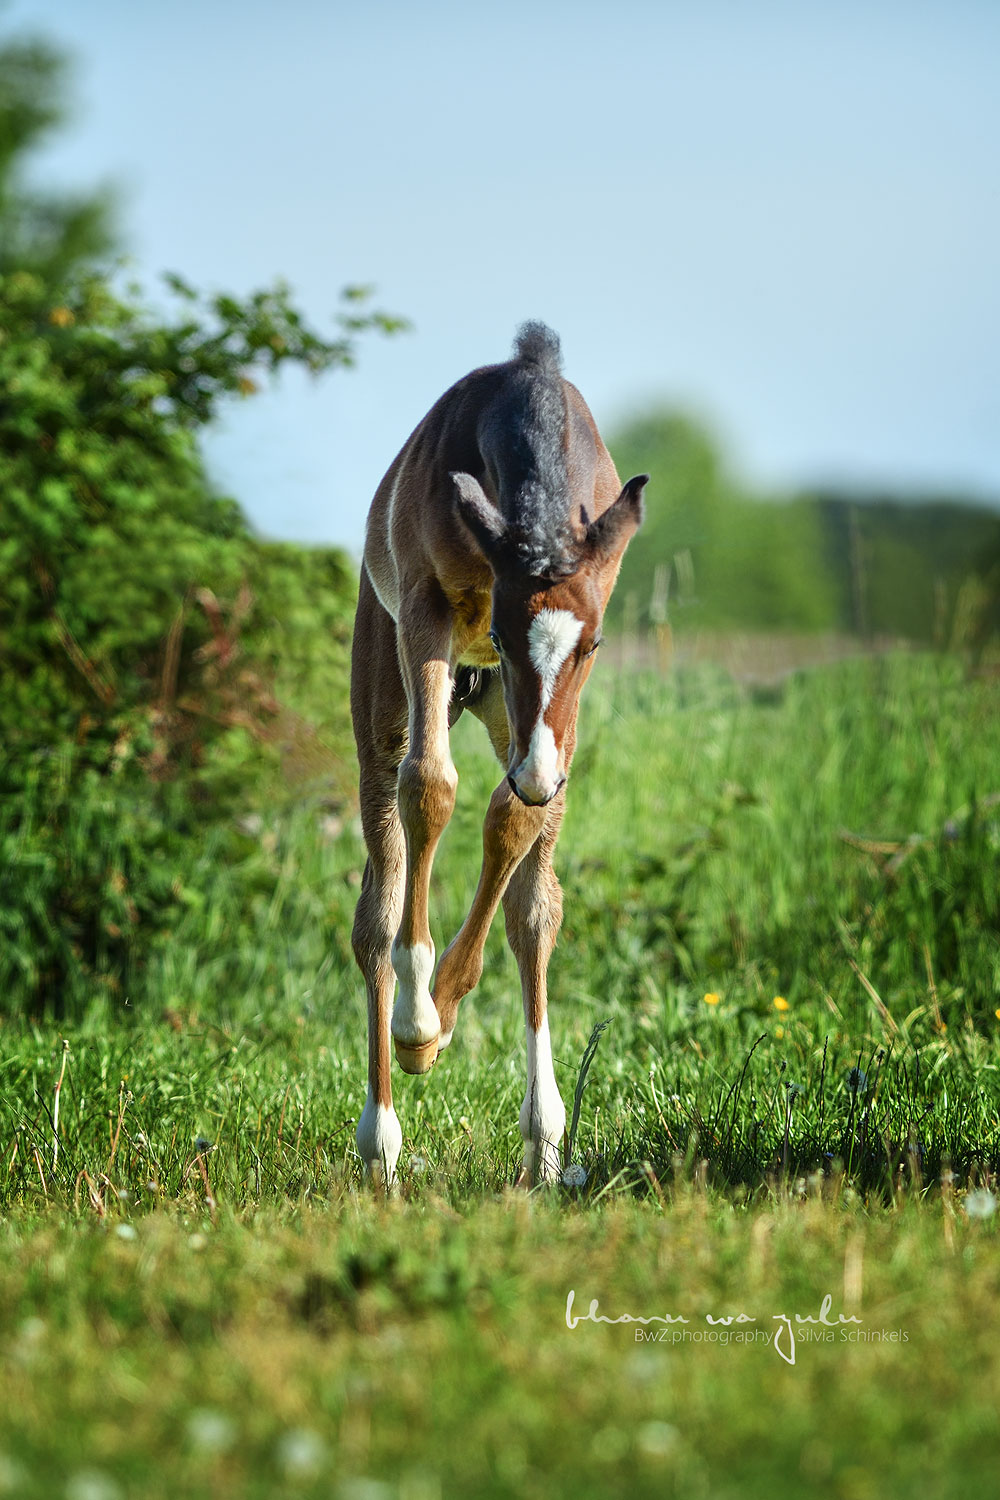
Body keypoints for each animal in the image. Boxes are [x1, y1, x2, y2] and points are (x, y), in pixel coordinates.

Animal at [352, 325, 650, 1182]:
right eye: (507, 639)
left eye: (592, 647)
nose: (541, 774)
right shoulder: (426, 606)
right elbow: (430, 787)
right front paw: (422, 1017)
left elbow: (517, 831)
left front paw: (450, 997)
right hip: (391, 683)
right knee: (377, 902)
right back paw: (382, 1136)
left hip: (496, 712)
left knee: (534, 904)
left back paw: (544, 1142)